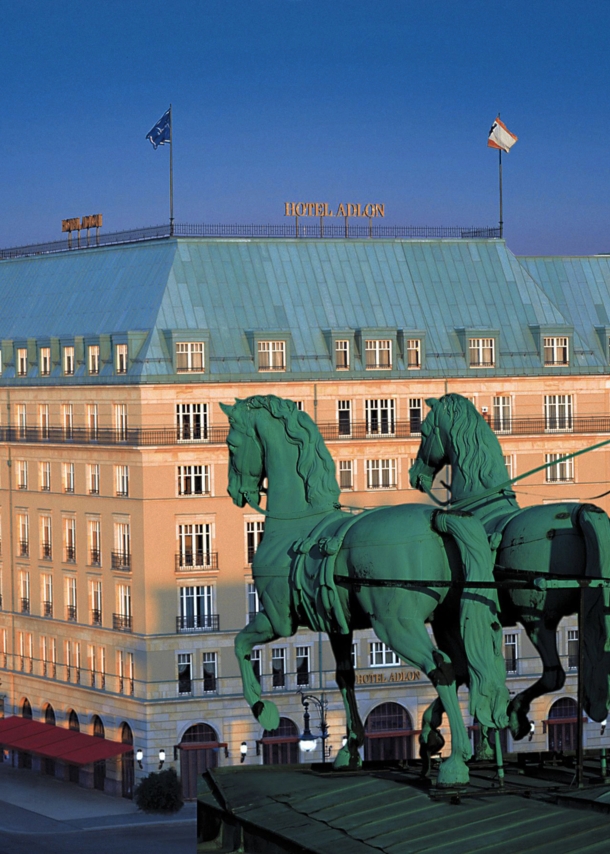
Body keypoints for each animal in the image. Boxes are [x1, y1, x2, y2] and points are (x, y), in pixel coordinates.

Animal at [221, 394, 506, 788]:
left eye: (232, 445)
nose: (235, 493)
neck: (297, 526)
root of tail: (437, 519)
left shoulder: (278, 621)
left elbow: (240, 644)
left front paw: (263, 710)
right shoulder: (336, 628)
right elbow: (345, 679)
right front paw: (350, 748)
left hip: (396, 625)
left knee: (442, 669)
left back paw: (454, 761)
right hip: (447, 620)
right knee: (463, 668)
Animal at [406, 394, 608, 756]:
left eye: (425, 429)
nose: (415, 475)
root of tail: (580, 511)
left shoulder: (451, 620)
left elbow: (462, 670)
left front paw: (435, 729)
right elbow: (470, 671)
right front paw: (485, 742)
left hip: (537, 620)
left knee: (555, 675)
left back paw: (516, 715)